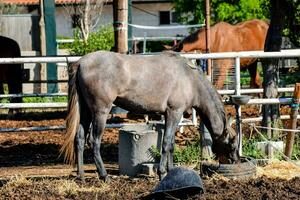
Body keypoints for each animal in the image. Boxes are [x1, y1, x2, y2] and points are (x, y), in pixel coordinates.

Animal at [60, 50, 239, 181]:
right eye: (232, 145)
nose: (235, 161)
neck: (189, 78)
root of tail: (81, 62)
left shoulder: (171, 116)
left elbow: (171, 144)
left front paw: (172, 170)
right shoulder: (174, 112)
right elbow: (166, 143)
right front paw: (162, 173)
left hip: (85, 111)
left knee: (80, 139)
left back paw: (82, 176)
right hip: (100, 112)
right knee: (94, 141)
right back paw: (104, 176)